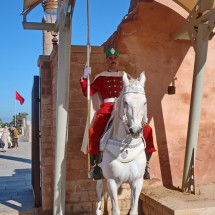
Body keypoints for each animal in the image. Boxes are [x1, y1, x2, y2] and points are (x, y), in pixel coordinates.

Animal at [96, 72, 148, 215]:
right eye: (126, 102)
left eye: (144, 102)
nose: (135, 130)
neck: (126, 148)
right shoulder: (112, 182)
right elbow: (115, 210)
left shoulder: (137, 182)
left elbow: (134, 210)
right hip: (100, 178)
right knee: (99, 194)